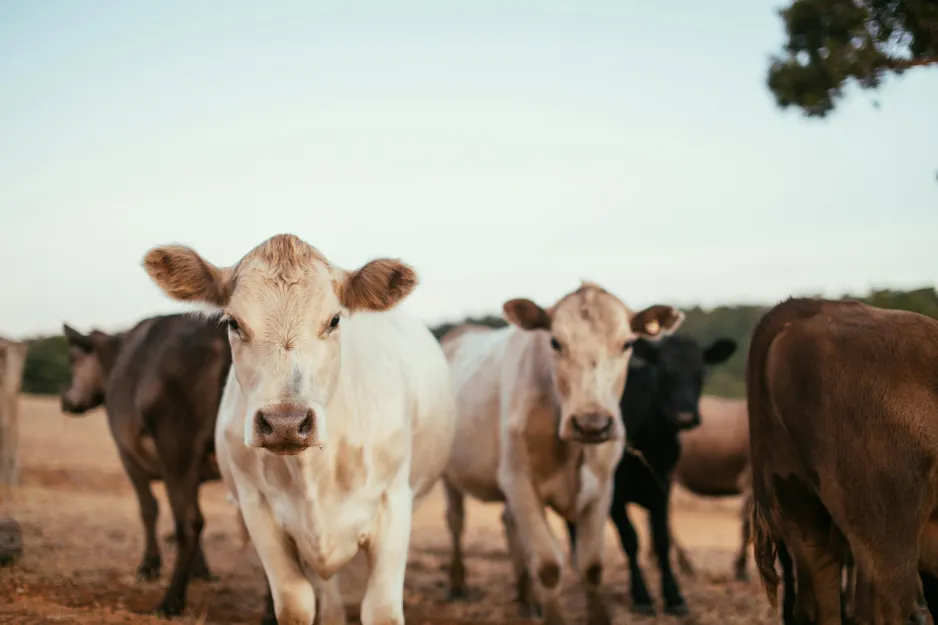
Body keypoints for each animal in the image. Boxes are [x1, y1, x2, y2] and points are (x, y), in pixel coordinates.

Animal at [61, 314, 231, 616]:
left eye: (72, 358)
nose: (66, 400)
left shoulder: (128, 455)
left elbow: (148, 508)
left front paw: (149, 566)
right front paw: (200, 570)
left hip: (176, 443)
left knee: (189, 521)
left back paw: (170, 602)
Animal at [142, 234, 458, 624]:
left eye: (334, 320)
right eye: (233, 322)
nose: (285, 424)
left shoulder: (394, 505)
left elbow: (381, 609)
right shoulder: (257, 508)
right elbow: (295, 603)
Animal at [438, 284, 680, 624]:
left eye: (627, 344)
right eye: (555, 342)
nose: (592, 423)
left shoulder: (603, 490)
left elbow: (592, 565)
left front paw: (598, 616)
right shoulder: (520, 482)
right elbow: (549, 565)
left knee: (509, 523)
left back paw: (527, 598)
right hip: (450, 475)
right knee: (456, 522)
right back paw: (458, 583)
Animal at [568, 336, 736, 616]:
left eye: (702, 373)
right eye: (663, 372)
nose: (684, 417)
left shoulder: (662, 486)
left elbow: (661, 539)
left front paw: (674, 597)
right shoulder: (615, 495)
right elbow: (631, 540)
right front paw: (641, 595)